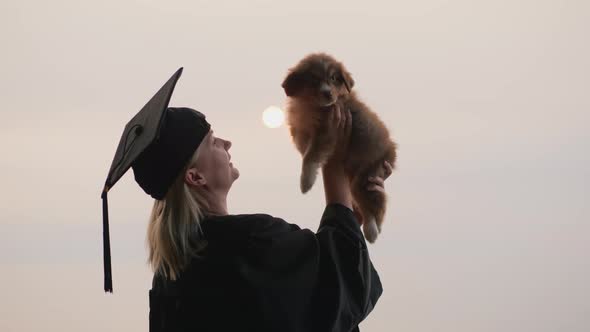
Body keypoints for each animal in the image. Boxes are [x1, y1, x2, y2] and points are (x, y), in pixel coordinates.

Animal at [282, 53, 398, 243]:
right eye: (313, 79)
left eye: (334, 78)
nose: (328, 93)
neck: (310, 105)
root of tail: (391, 148)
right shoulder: (300, 129)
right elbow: (305, 150)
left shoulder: (327, 131)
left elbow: (310, 156)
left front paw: (306, 182)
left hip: (368, 173)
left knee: (375, 203)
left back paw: (372, 231)